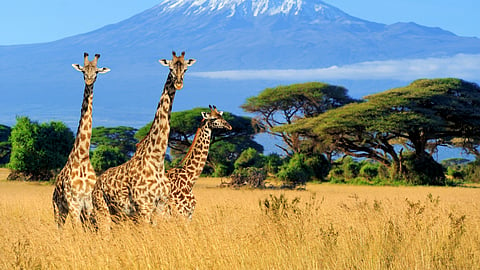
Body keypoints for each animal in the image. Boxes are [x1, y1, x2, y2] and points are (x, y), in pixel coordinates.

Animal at [52, 52, 110, 228]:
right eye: (83, 71)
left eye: (96, 72)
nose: (89, 80)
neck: (83, 157)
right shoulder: (74, 204)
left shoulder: (88, 204)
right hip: (58, 209)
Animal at [93, 51, 196, 228]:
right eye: (170, 68)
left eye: (186, 69)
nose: (178, 83)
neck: (157, 159)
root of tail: (95, 187)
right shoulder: (143, 206)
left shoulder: (161, 206)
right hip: (103, 210)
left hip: (118, 214)